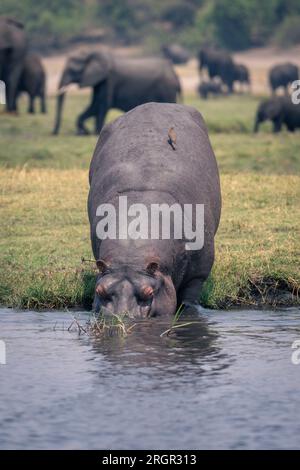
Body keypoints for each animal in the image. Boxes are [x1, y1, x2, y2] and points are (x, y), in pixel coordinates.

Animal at [52, 50, 182, 137]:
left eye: (72, 71)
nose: (54, 133)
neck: (89, 54)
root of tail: (174, 72)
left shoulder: (109, 79)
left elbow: (103, 104)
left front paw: (95, 133)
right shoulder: (99, 81)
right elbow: (94, 105)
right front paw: (85, 132)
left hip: (167, 89)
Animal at [88, 101, 221, 318]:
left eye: (149, 292)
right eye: (99, 290)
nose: (120, 319)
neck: (131, 257)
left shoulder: (199, 270)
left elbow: (191, 293)